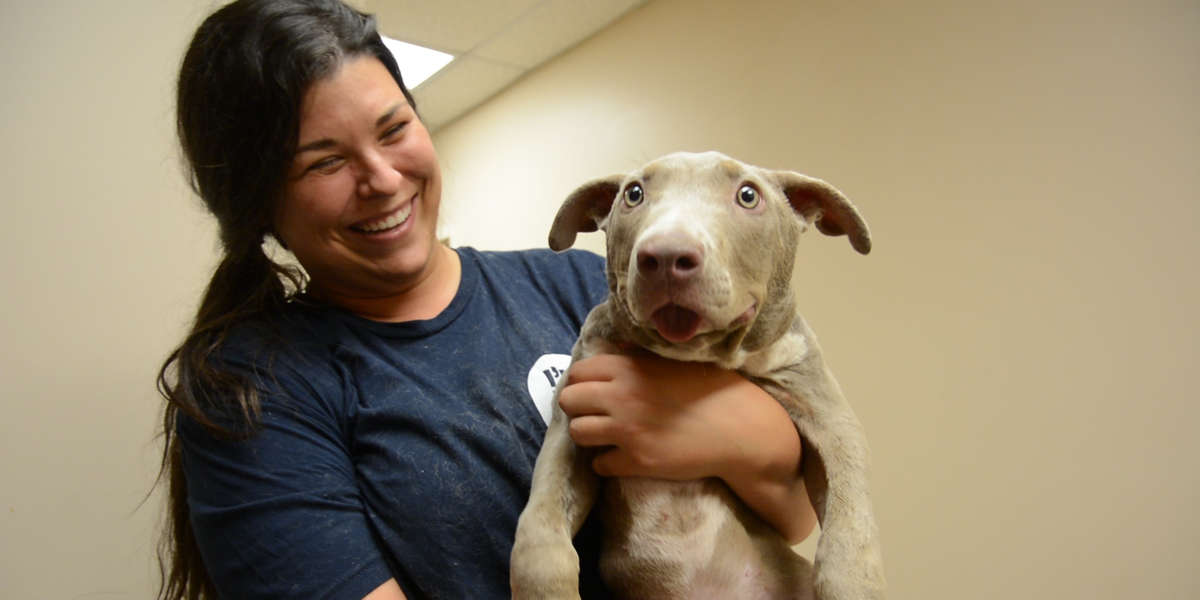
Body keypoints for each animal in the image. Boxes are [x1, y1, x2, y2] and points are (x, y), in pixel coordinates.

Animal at [506, 152, 883, 597]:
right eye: (634, 193)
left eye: (748, 195)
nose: (666, 256)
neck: (697, 360)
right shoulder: (572, 418)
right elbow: (541, 528)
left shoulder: (826, 411)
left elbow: (849, 516)